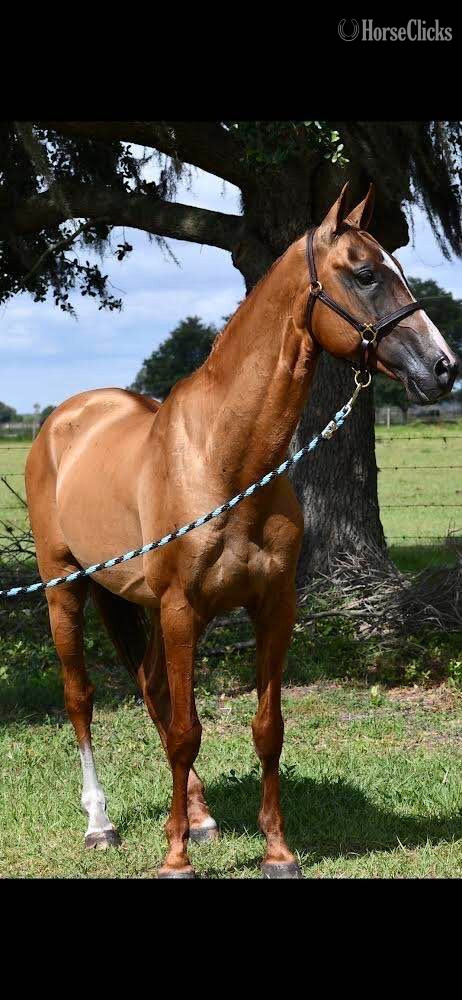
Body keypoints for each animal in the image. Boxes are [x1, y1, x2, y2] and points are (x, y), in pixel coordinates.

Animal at [25, 182, 459, 878]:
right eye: (365, 273)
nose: (443, 367)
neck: (224, 461)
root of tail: (66, 418)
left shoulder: (272, 608)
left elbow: (266, 728)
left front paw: (275, 851)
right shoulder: (181, 609)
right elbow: (186, 731)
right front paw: (174, 858)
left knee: (150, 686)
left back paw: (199, 816)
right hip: (65, 589)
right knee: (82, 697)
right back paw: (101, 823)